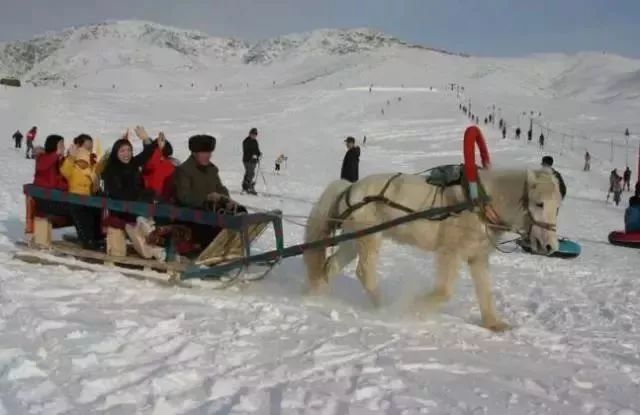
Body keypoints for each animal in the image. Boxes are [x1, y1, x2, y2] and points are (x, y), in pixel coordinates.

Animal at [304, 167, 560, 334]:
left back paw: (319, 296)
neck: (478, 203)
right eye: (539, 203)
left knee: (331, 266)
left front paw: (494, 324)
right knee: (364, 273)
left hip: (352, 240)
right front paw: (413, 310)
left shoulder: (477, 257)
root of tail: (350, 187)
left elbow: (485, 292)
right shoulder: (450, 253)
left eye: (557, 207)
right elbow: (444, 291)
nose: (550, 246)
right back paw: (385, 307)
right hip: (369, 238)